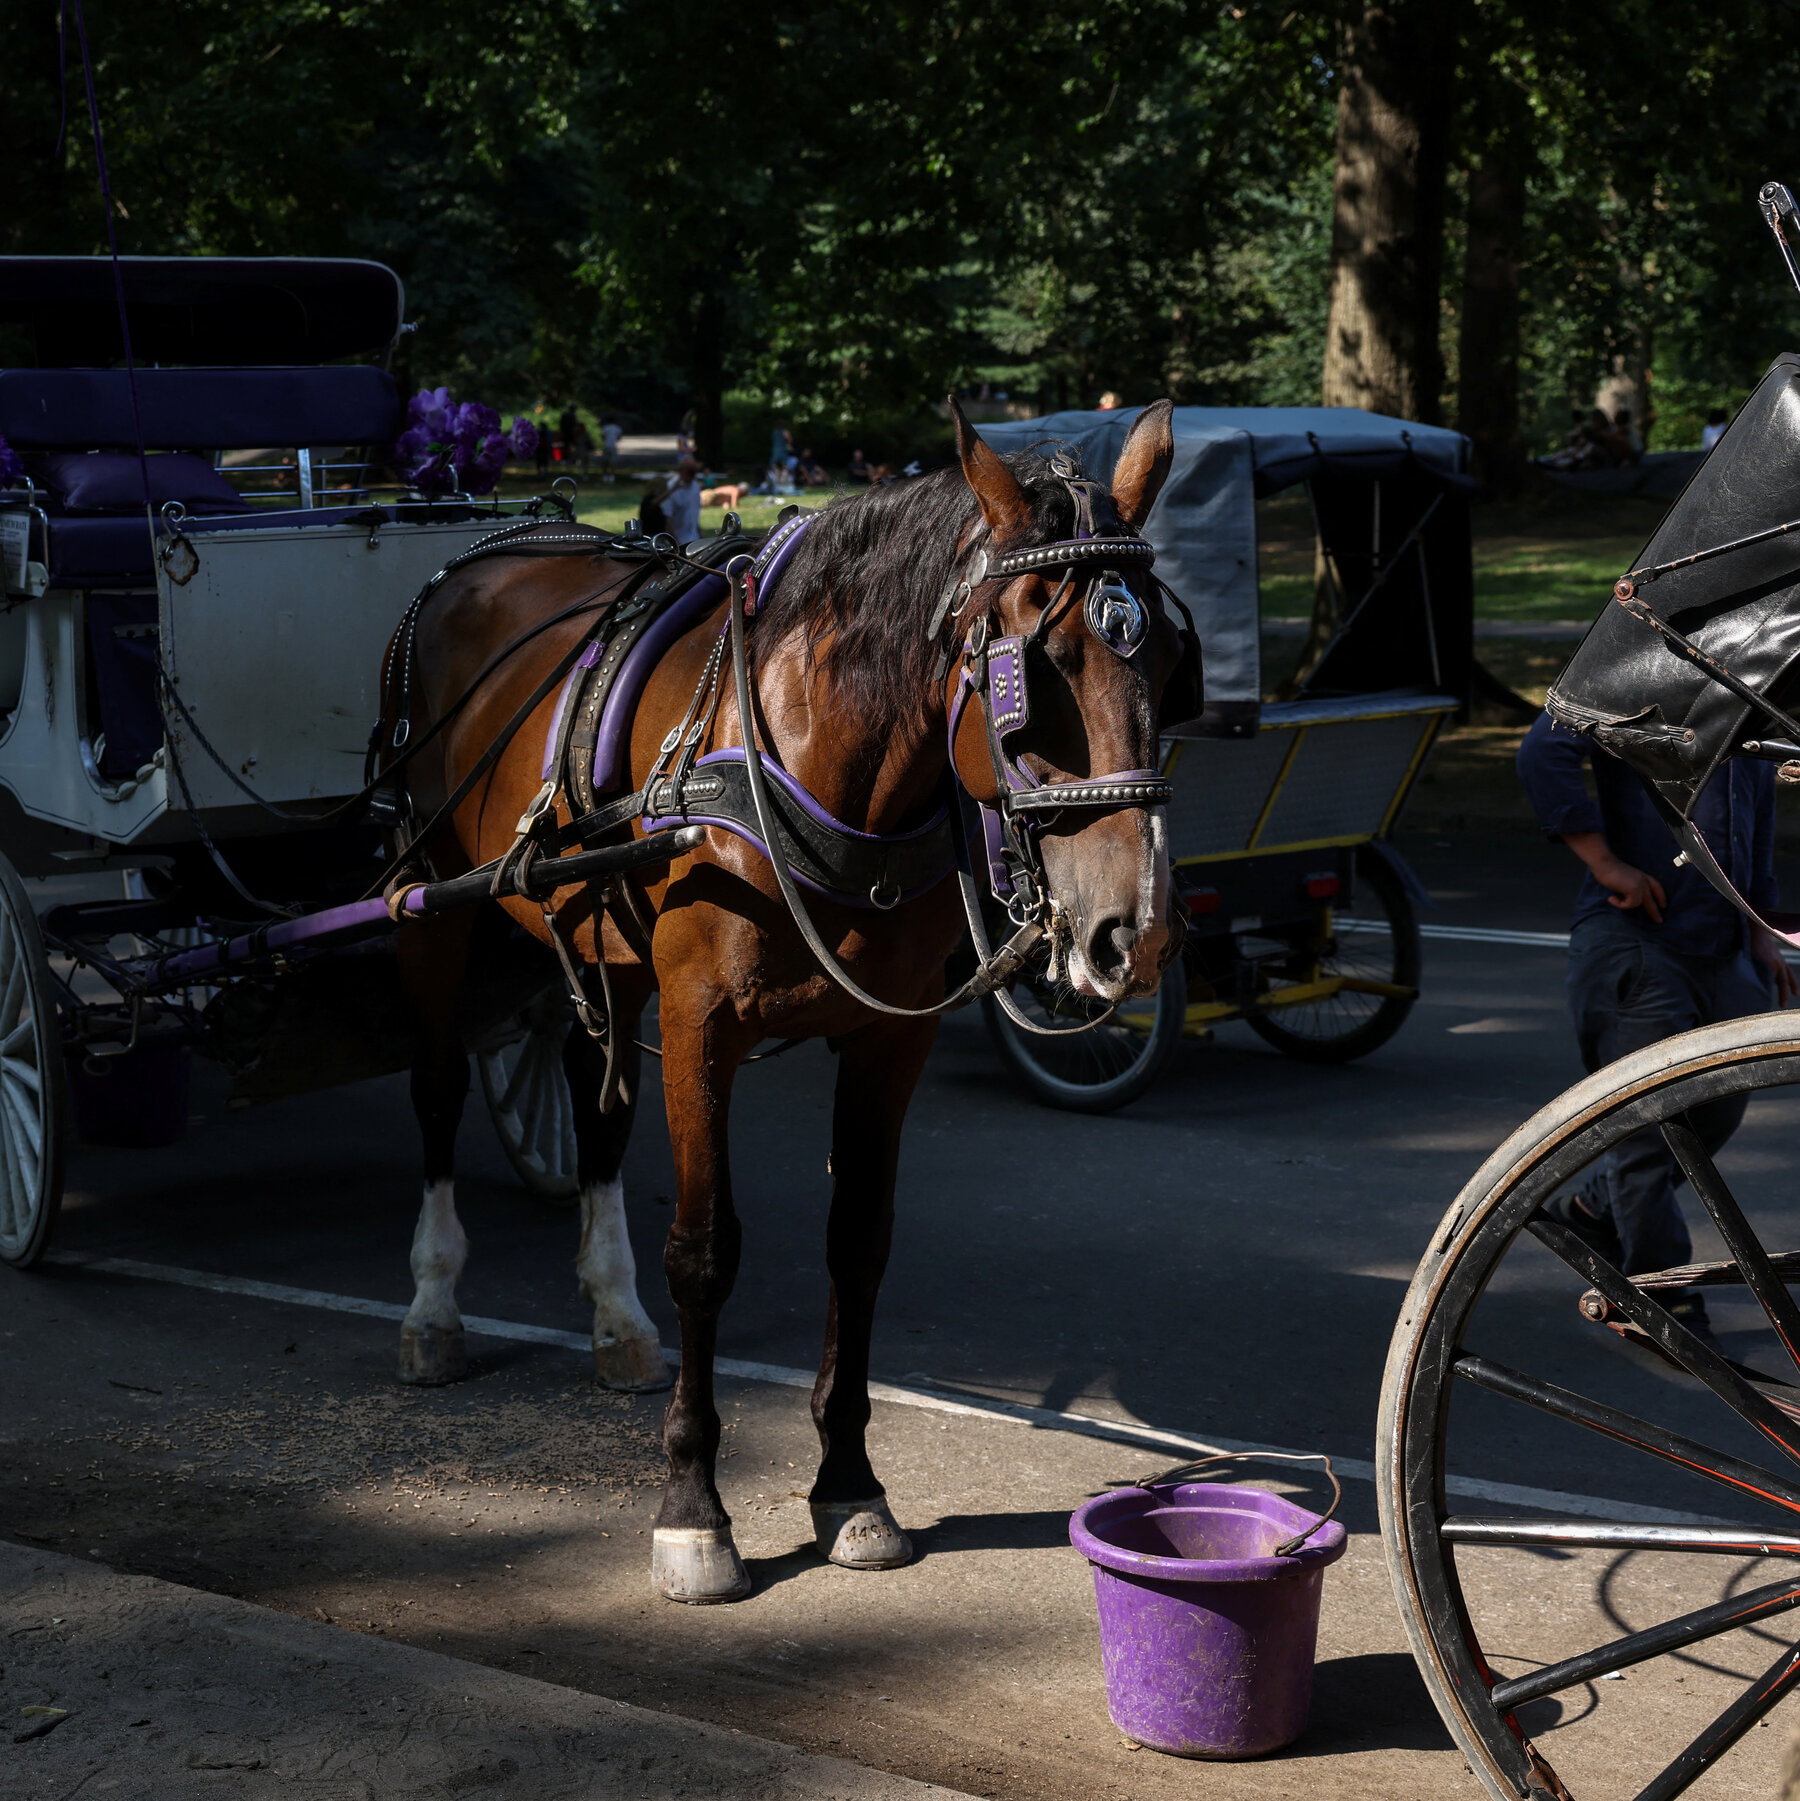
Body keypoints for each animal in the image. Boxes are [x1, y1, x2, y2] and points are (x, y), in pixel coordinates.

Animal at [381, 397, 1189, 1602]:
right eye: (1031, 674)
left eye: (1171, 662)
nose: (1130, 934)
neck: (806, 758)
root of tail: (489, 549)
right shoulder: (698, 1023)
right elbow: (705, 1250)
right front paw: (692, 1506)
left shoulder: (886, 1040)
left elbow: (859, 1242)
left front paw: (849, 1482)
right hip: (432, 906)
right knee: (435, 1090)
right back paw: (434, 1305)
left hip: (591, 939)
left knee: (595, 1108)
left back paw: (614, 1315)